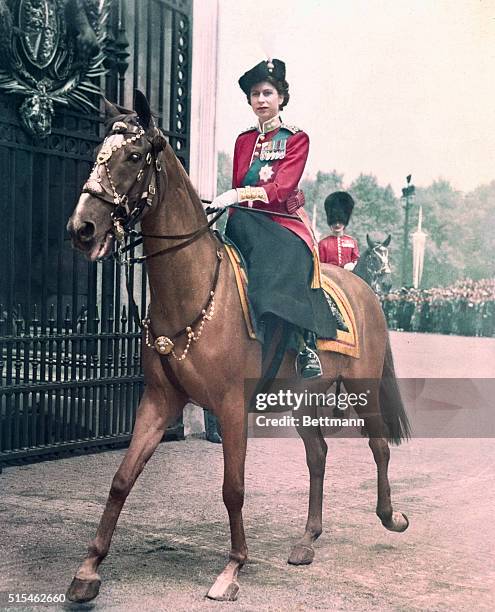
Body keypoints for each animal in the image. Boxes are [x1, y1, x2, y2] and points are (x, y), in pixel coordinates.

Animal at [65, 91, 410, 604]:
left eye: (133, 155)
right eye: (96, 155)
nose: (82, 228)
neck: (192, 288)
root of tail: (365, 289)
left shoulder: (230, 405)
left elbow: (233, 488)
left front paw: (232, 568)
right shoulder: (159, 400)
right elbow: (122, 478)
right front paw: (88, 569)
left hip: (363, 387)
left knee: (379, 445)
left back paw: (390, 516)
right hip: (303, 398)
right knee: (318, 454)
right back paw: (307, 539)